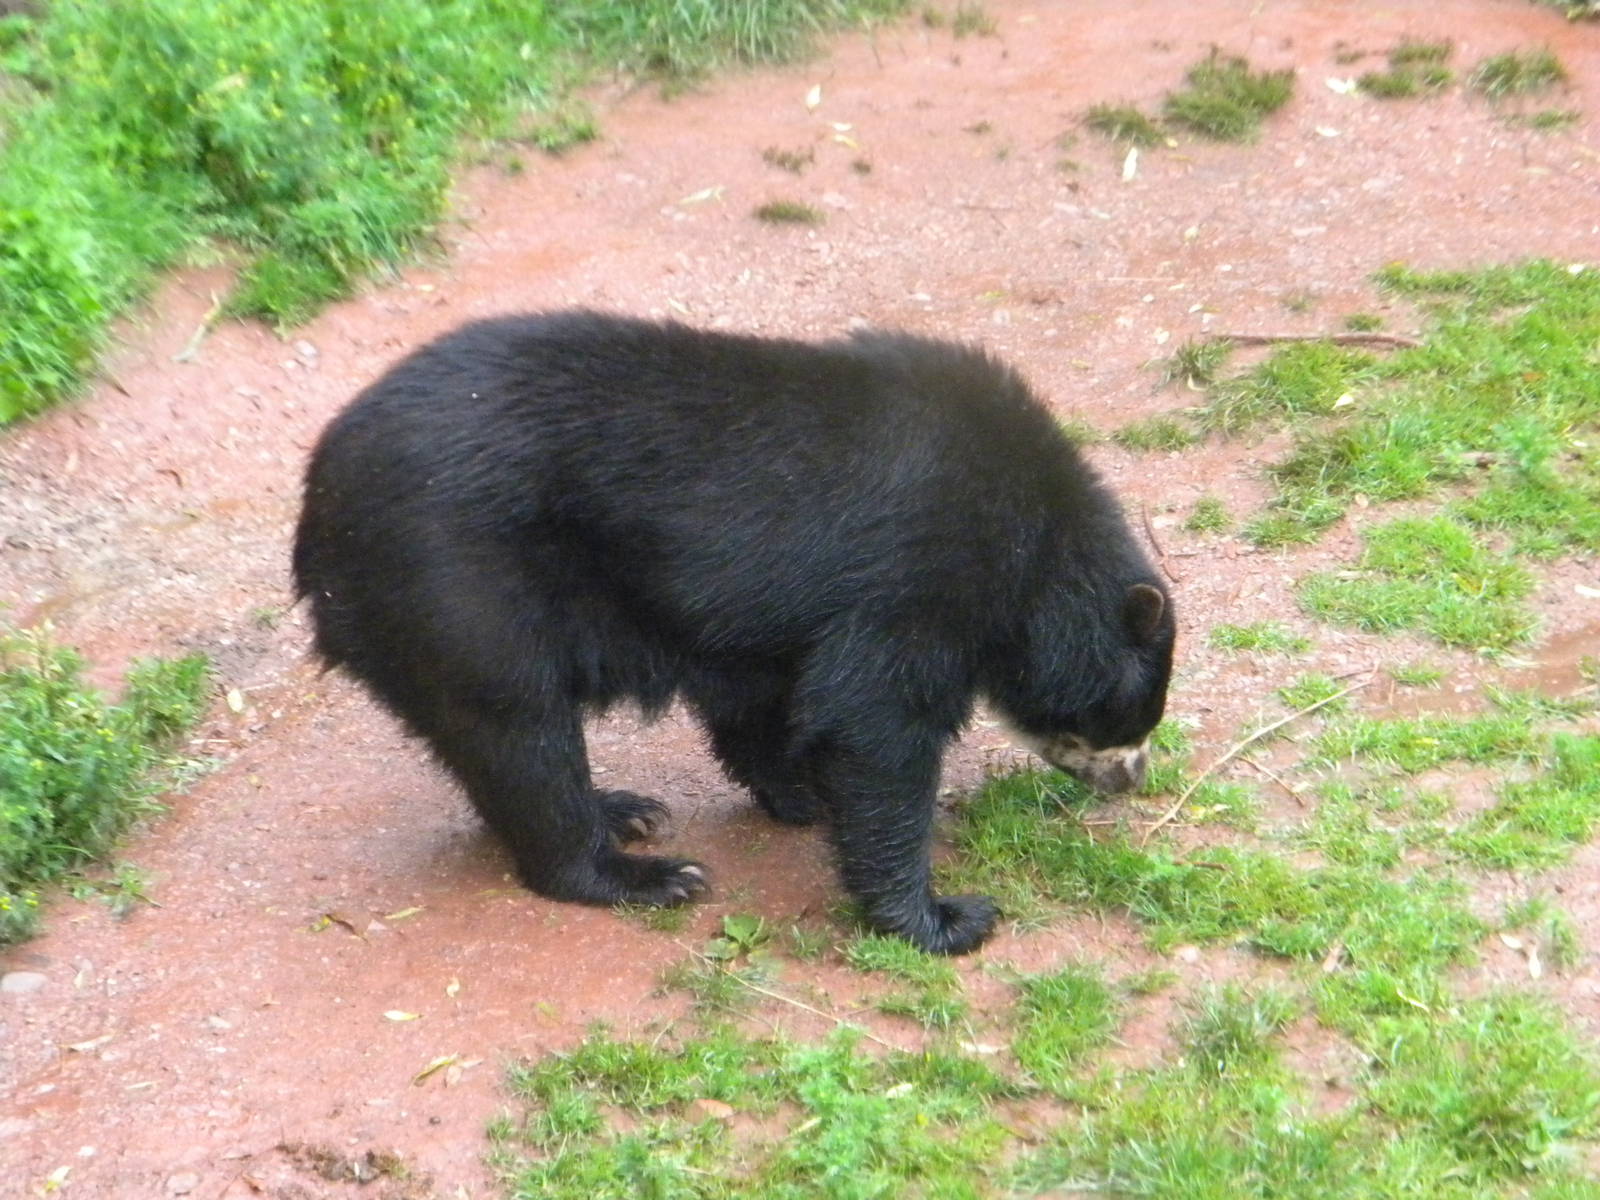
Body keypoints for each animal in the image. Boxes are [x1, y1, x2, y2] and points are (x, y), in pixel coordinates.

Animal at [293, 312, 1175, 955]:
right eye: (1127, 720)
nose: (1131, 782)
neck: (1039, 550)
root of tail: (318, 509)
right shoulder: (917, 579)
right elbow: (878, 726)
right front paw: (946, 918)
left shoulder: (762, 621)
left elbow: (769, 704)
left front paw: (804, 794)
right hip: (463, 590)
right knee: (519, 731)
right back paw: (642, 872)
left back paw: (622, 809)